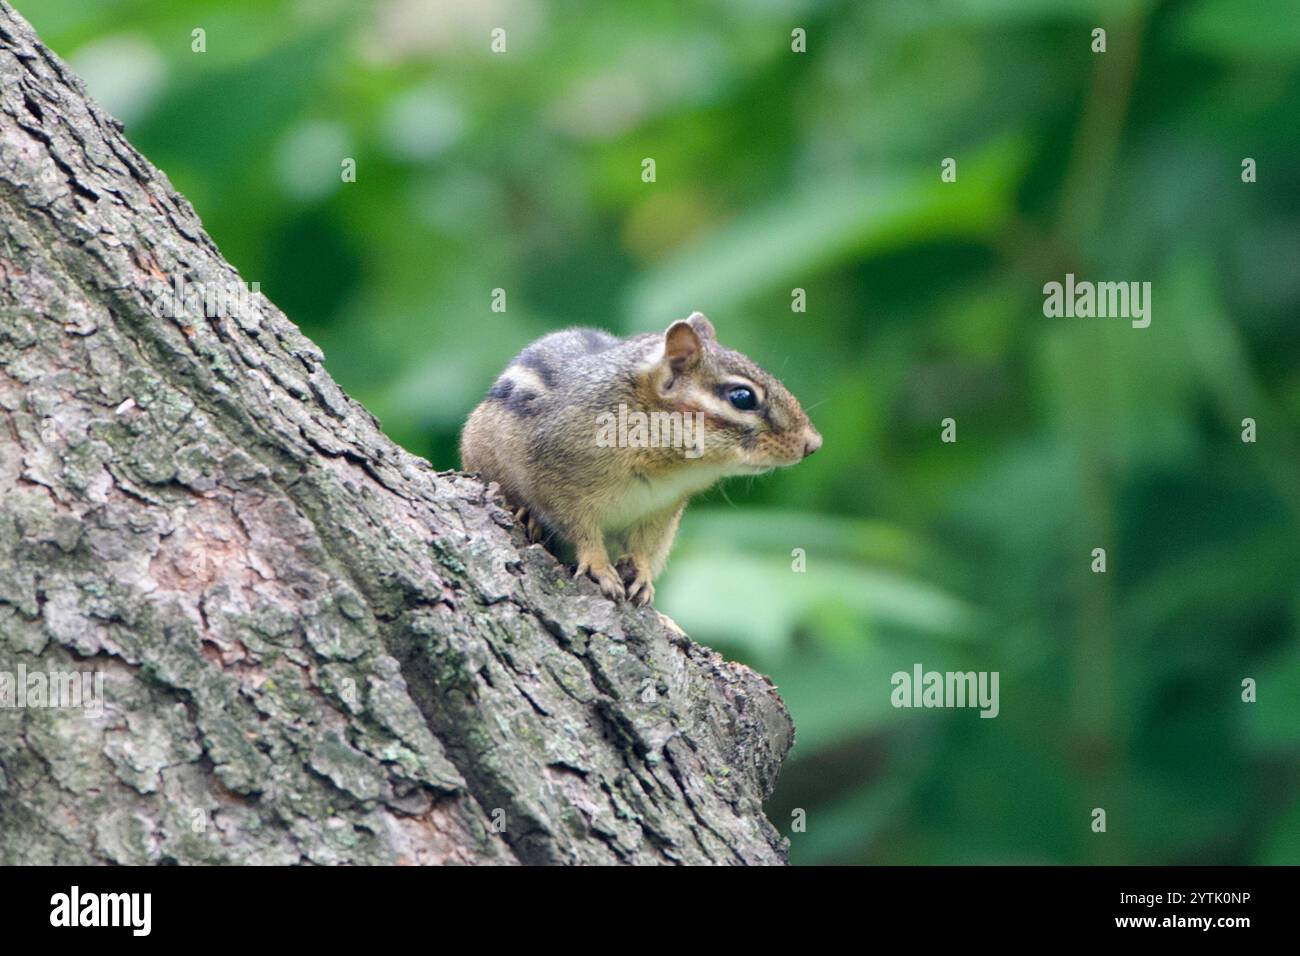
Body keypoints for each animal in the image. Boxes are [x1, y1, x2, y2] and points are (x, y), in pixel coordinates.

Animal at [460, 311, 821, 606]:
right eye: (742, 397)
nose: (813, 444)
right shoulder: (556, 478)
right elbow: (579, 529)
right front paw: (599, 565)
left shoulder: (661, 511)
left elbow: (645, 548)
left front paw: (644, 577)